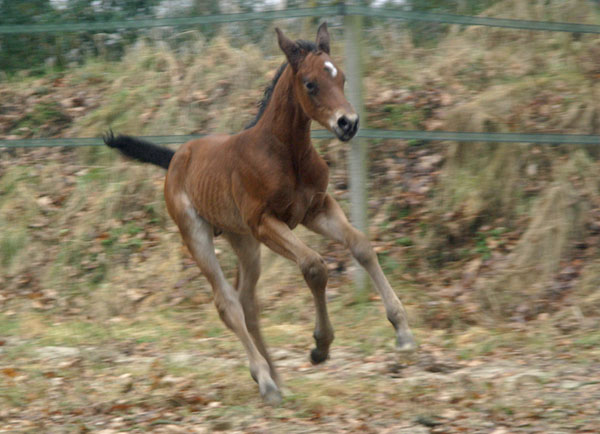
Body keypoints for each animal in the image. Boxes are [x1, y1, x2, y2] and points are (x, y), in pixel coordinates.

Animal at [105, 22, 414, 404]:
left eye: (341, 77)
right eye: (310, 83)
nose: (349, 123)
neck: (286, 153)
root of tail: (177, 156)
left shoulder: (316, 208)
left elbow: (361, 245)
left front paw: (402, 330)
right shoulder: (265, 222)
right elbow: (313, 265)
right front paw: (320, 346)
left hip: (243, 241)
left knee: (247, 301)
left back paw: (276, 378)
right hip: (197, 233)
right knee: (228, 302)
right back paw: (265, 379)